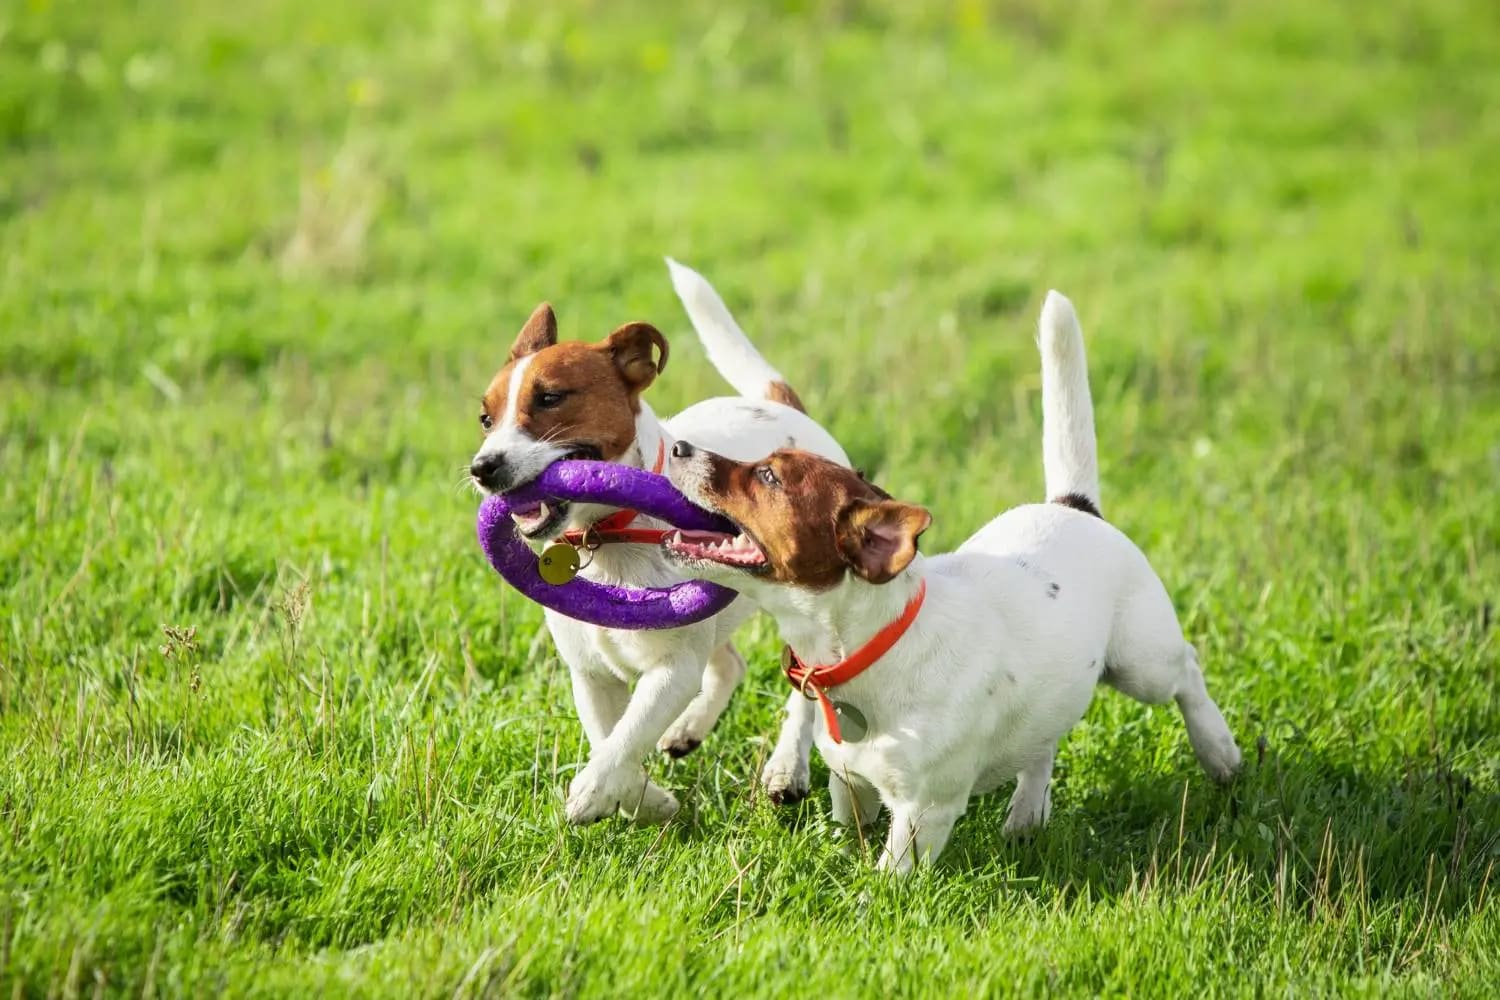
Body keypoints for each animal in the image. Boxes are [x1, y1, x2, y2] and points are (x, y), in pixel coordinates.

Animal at [471, 260, 846, 827]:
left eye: (551, 397)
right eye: (485, 418)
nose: (482, 468)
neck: (607, 536)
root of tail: (779, 407)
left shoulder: (671, 670)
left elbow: (625, 738)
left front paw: (592, 793)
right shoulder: (591, 675)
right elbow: (610, 738)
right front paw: (646, 800)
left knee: (806, 687)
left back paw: (786, 769)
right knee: (729, 664)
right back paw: (688, 730)